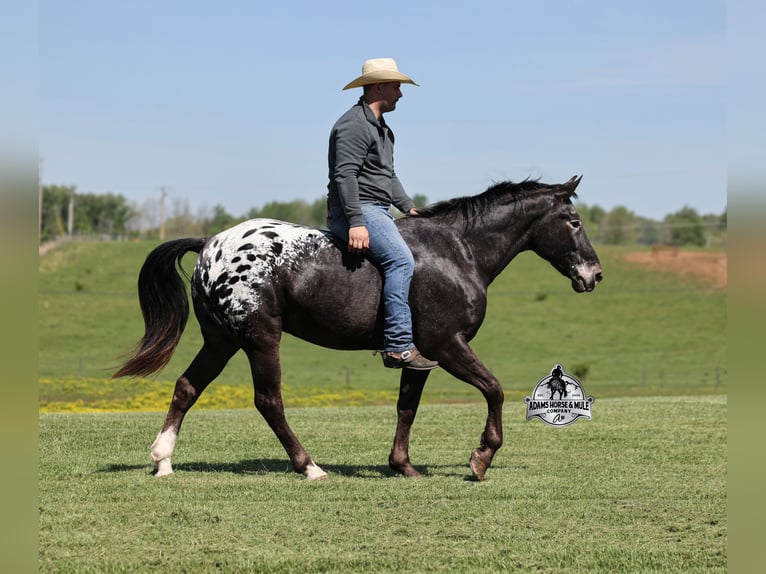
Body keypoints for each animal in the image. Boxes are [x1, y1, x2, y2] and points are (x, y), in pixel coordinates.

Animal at [114, 175, 602, 481]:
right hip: (259, 339)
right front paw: (481, 457)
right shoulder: (448, 344)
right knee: (269, 401)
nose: (594, 275)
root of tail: (210, 243)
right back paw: (309, 466)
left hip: (222, 341)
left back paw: (163, 461)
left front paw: (403, 465)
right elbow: (495, 390)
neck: (456, 251)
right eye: (574, 221)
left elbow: (407, 408)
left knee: (186, 387)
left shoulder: (419, 356)